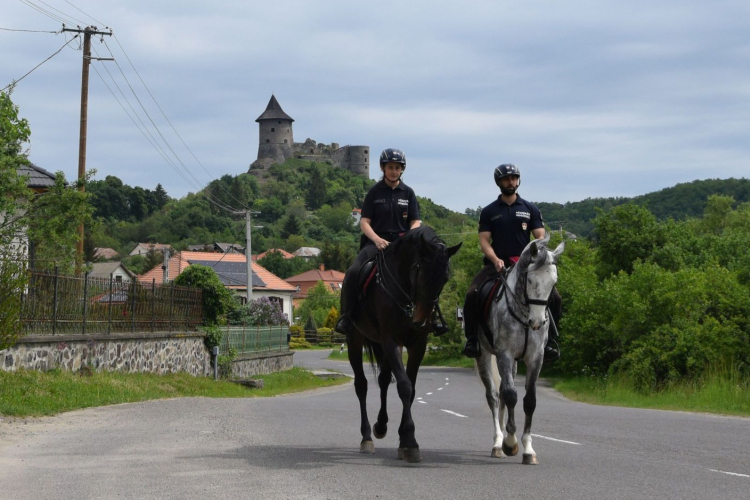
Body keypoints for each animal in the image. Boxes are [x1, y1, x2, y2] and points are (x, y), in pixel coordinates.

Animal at [348, 225, 464, 462]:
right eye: (420, 269)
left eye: (445, 277)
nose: (420, 319)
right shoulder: (392, 341)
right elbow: (404, 385)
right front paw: (410, 441)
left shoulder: (417, 345)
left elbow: (410, 389)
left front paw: (404, 440)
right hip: (355, 341)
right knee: (361, 385)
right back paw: (367, 437)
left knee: (383, 380)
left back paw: (381, 425)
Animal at [476, 233, 564, 464]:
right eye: (530, 279)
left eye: (553, 282)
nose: (537, 322)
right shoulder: (504, 355)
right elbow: (510, 395)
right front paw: (510, 443)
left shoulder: (535, 357)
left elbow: (529, 400)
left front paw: (528, 450)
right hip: (484, 356)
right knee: (494, 396)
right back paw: (498, 442)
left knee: (501, 395)